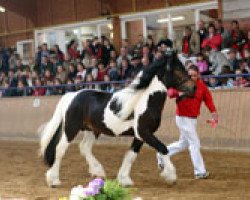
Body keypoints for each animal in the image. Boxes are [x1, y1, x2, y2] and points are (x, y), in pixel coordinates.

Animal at [39, 51, 196, 188]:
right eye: (178, 69)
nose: (193, 87)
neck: (144, 101)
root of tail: (71, 96)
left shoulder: (139, 136)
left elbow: (131, 156)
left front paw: (124, 180)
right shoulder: (144, 133)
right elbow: (163, 148)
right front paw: (171, 176)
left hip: (92, 130)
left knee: (85, 147)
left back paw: (98, 172)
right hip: (71, 129)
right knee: (60, 149)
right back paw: (53, 180)